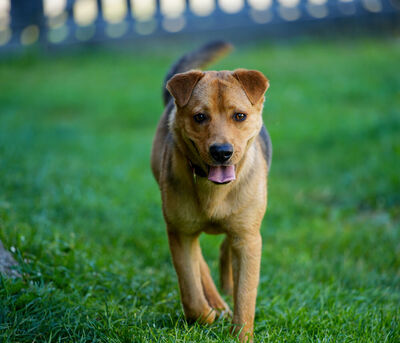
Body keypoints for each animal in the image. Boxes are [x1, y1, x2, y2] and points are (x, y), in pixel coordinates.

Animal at [151, 41, 272, 342]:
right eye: (200, 117)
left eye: (240, 116)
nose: (222, 152)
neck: (214, 192)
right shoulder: (180, 232)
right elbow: (191, 294)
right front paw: (208, 315)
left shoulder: (248, 238)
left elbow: (246, 295)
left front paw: (241, 335)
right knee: (199, 264)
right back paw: (217, 303)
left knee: (225, 248)